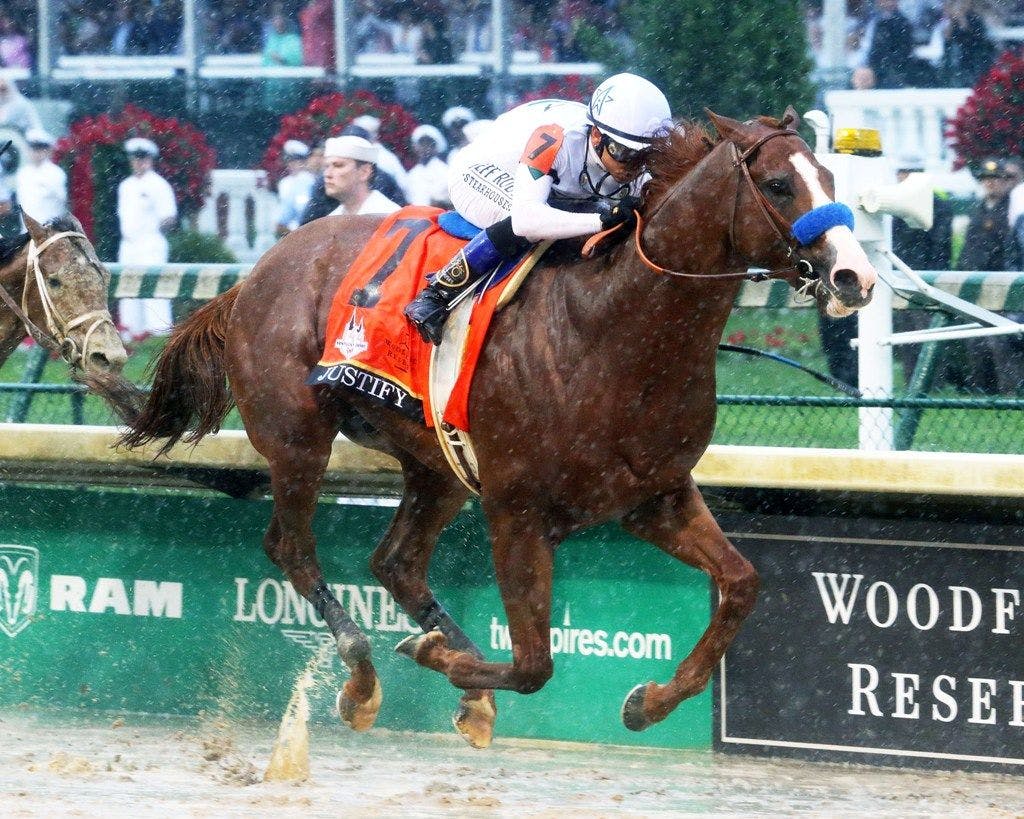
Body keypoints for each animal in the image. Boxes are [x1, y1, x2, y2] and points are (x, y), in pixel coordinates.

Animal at [119, 108, 876, 749]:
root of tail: (253, 275)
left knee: (395, 560)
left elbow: (742, 584)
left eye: (832, 179)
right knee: (294, 549)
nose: (854, 277)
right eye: (778, 184)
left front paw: (649, 701)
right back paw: (364, 676)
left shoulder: (653, 496)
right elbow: (535, 662)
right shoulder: (518, 508)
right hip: (298, 439)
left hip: (438, 463)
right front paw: (443, 662)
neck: (614, 330)